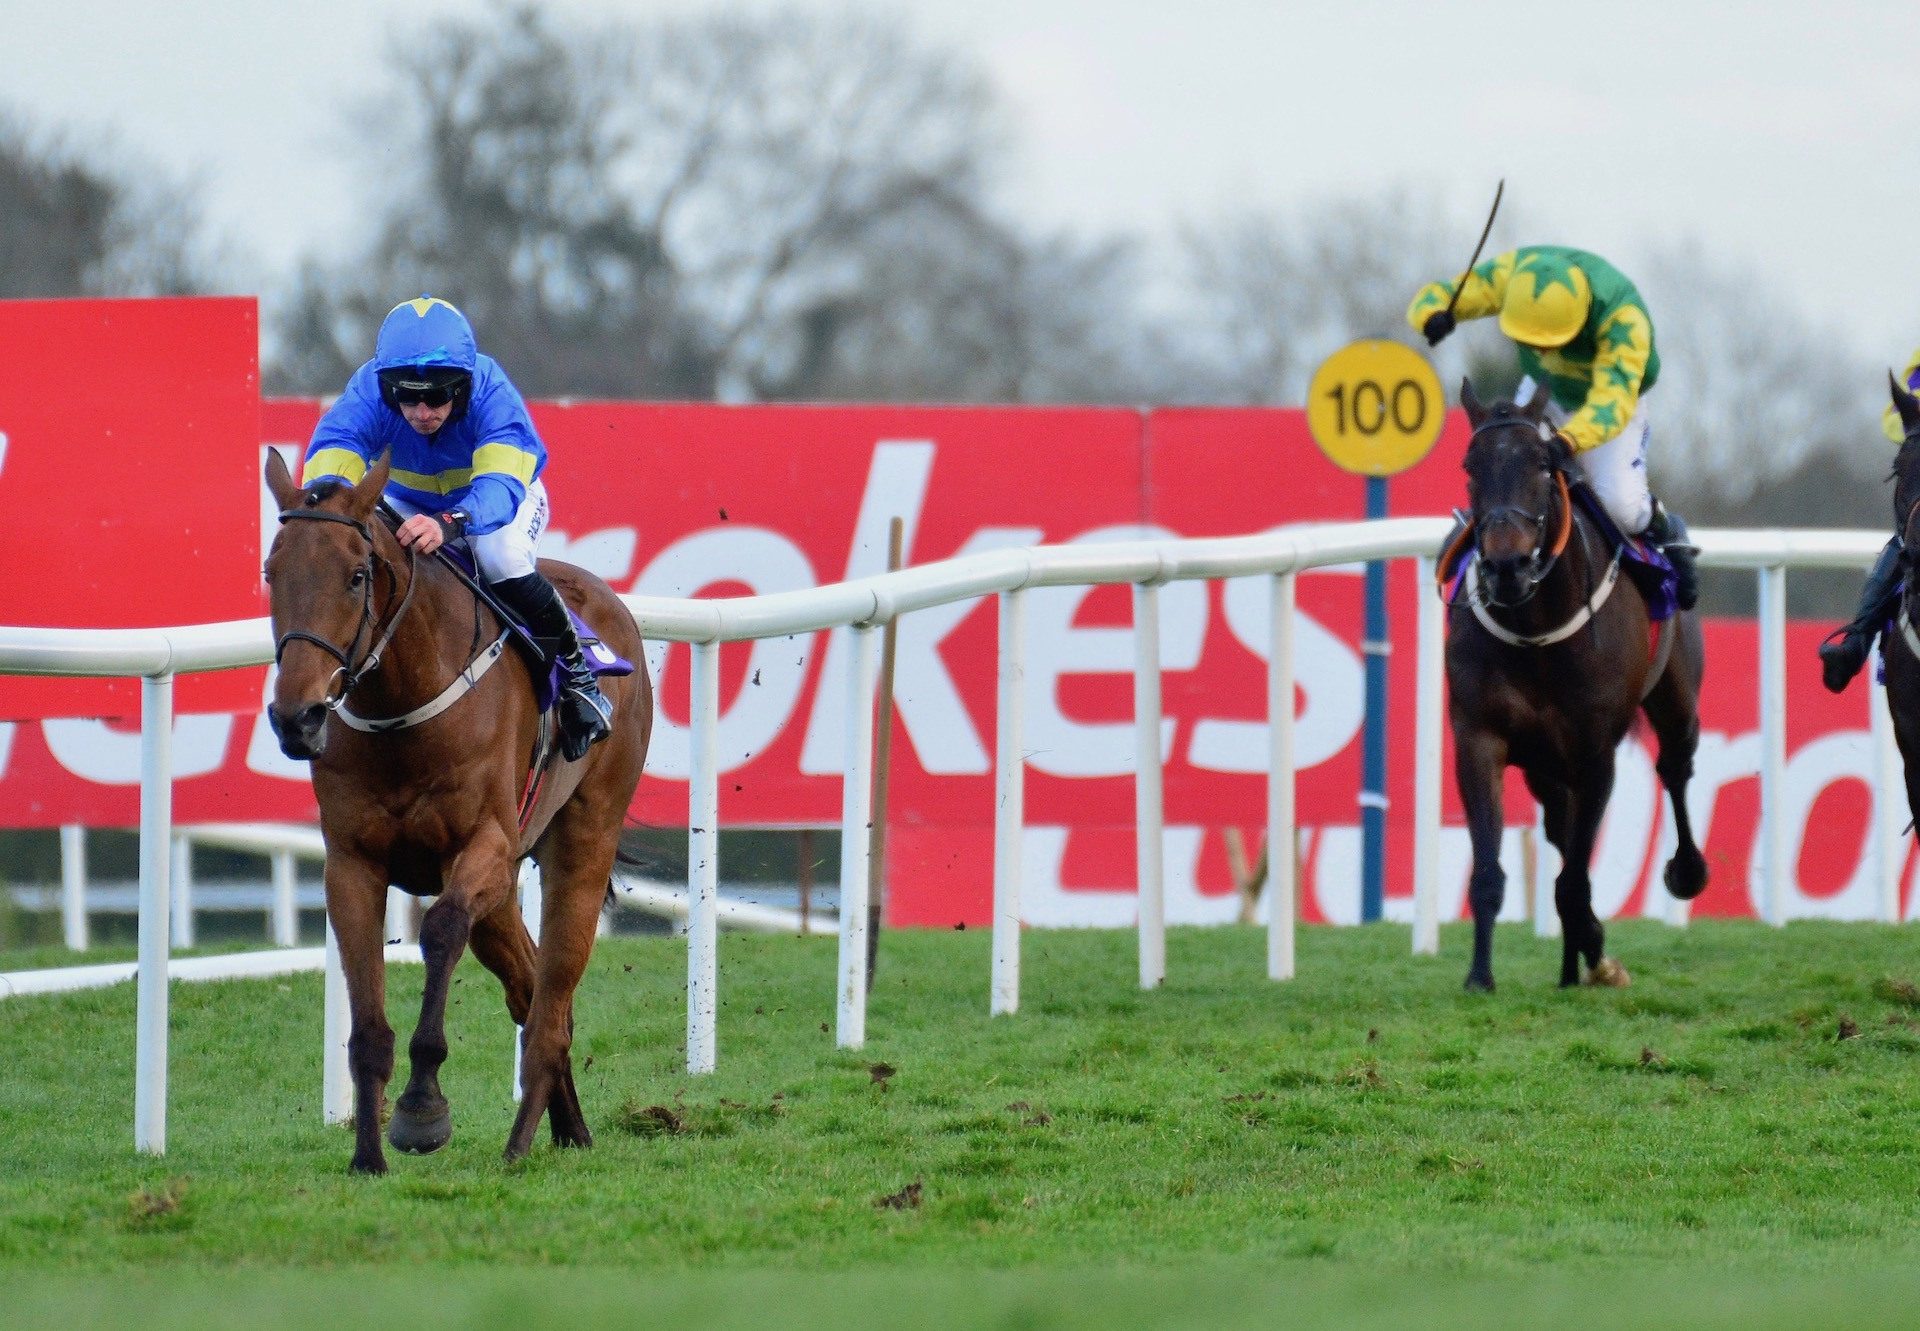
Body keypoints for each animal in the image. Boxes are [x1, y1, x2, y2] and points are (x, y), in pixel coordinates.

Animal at [263, 449, 656, 1175]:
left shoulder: (485, 848)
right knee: (529, 986)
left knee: (552, 999)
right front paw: (367, 1156)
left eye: (356, 576)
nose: (296, 716)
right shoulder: (352, 863)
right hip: (501, 900)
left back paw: (522, 1141)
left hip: (585, 835)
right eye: (271, 572)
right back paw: (570, 1127)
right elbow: (365, 1017)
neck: (403, 704)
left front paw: (422, 1109)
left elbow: (441, 929)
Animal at [1443, 378, 1712, 991]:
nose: (1508, 566)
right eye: (1470, 466)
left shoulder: (1595, 753)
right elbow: (1491, 870)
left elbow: (1573, 877)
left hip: (1675, 698)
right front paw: (1479, 976)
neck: (1535, 629)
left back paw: (1684, 872)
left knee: (1675, 769)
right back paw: (1571, 965)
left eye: (1543, 466)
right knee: (1559, 831)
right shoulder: (1479, 737)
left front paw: (1595, 947)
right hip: (1545, 764)